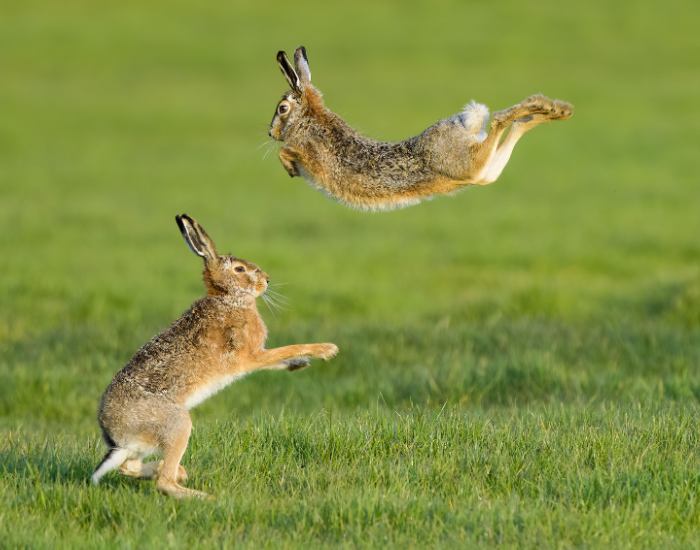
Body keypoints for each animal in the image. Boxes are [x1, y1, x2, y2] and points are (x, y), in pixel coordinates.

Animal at [92, 214, 339, 499]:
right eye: (240, 269)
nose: (267, 280)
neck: (229, 298)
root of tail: (116, 435)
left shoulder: (252, 359)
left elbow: (277, 359)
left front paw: (300, 364)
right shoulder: (250, 356)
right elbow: (285, 350)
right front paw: (327, 350)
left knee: (130, 468)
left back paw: (178, 472)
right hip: (176, 425)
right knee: (164, 482)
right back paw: (205, 496)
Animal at [269, 46, 573, 212]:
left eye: (282, 109)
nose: (271, 133)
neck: (308, 118)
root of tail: (464, 124)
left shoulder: (312, 157)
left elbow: (287, 152)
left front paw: (290, 168)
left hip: (466, 165)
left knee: (499, 119)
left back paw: (543, 105)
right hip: (485, 171)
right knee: (513, 131)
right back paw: (554, 110)